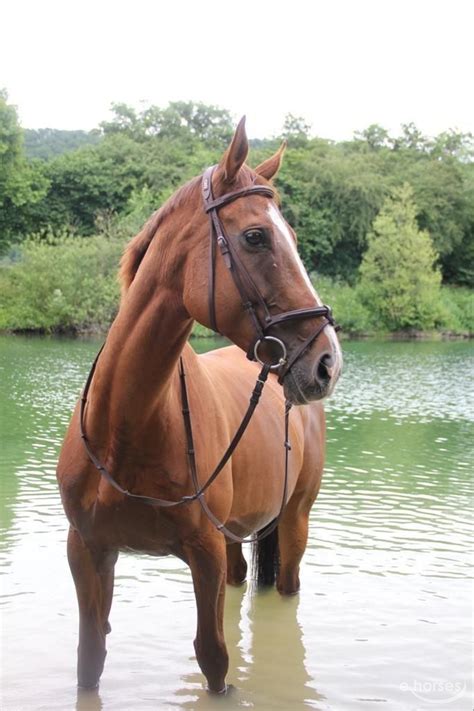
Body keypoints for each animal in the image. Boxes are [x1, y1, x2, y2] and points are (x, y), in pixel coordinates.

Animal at [57, 118, 342, 696]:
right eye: (256, 236)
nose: (327, 362)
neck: (127, 427)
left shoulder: (203, 554)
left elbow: (214, 658)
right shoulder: (88, 550)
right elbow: (89, 658)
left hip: (295, 520)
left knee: (287, 586)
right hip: (234, 537)